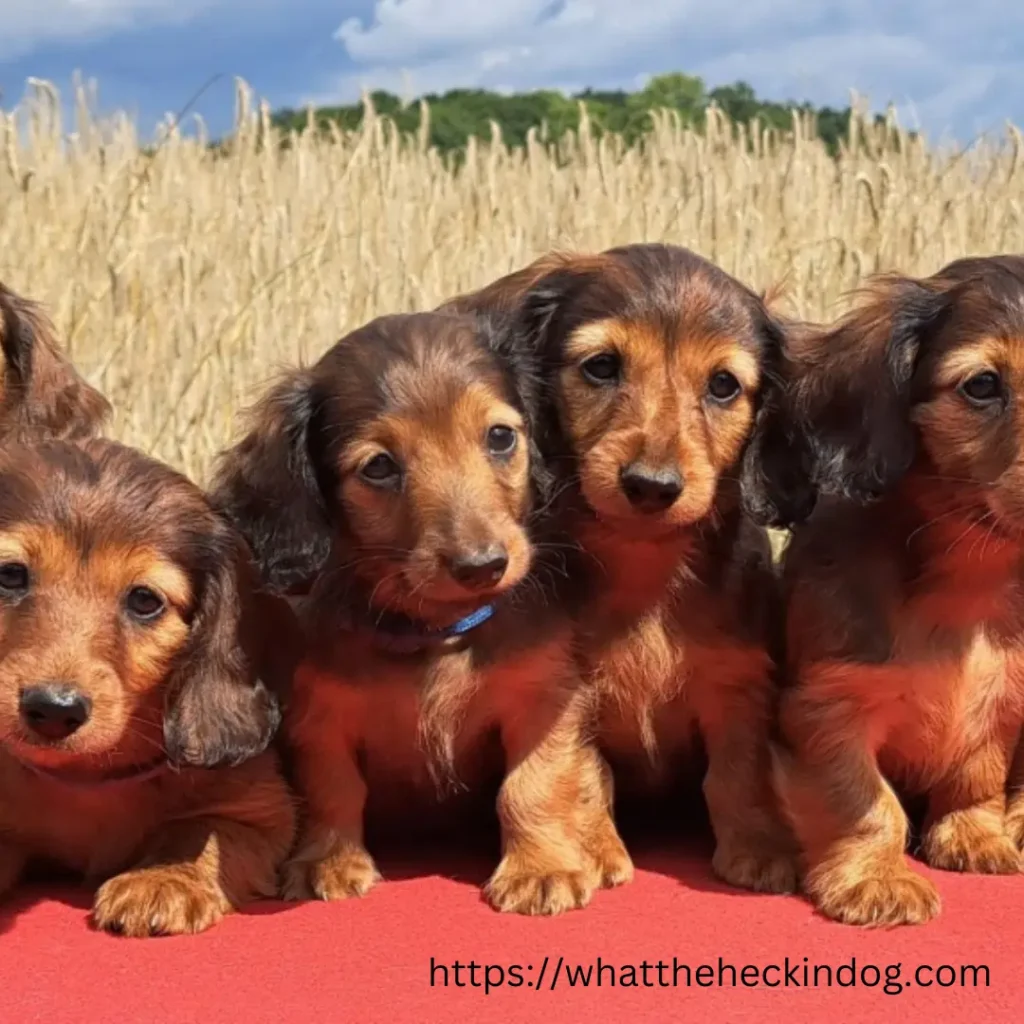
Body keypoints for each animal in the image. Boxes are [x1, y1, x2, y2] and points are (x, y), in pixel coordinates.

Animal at [0, 440, 296, 937]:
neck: (89, 777)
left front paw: (162, 879)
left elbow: (198, 830)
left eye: (144, 600)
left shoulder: (262, 813)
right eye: (9, 576)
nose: (53, 710)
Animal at [209, 309, 630, 913]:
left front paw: (542, 866)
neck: (436, 630)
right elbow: (332, 787)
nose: (483, 565)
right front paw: (327, 861)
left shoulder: (543, 697)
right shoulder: (317, 718)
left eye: (500, 436)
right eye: (379, 467)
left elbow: (535, 783)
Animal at [444, 243, 802, 892]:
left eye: (723, 385)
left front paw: (761, 845)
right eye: (602, 366)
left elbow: (739, 772)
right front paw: (592, 850)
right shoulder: (568, 690)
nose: (651, 486)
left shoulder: (737, 684)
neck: (646, 566)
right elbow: (585, 773)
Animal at [770, 256, 1024, 929]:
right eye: (983, 386)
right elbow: (864, 800)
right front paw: (874, 878)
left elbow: (977, 771)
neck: (968, 579)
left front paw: (974, 836)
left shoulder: (1004, 694)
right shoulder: (829, 706)